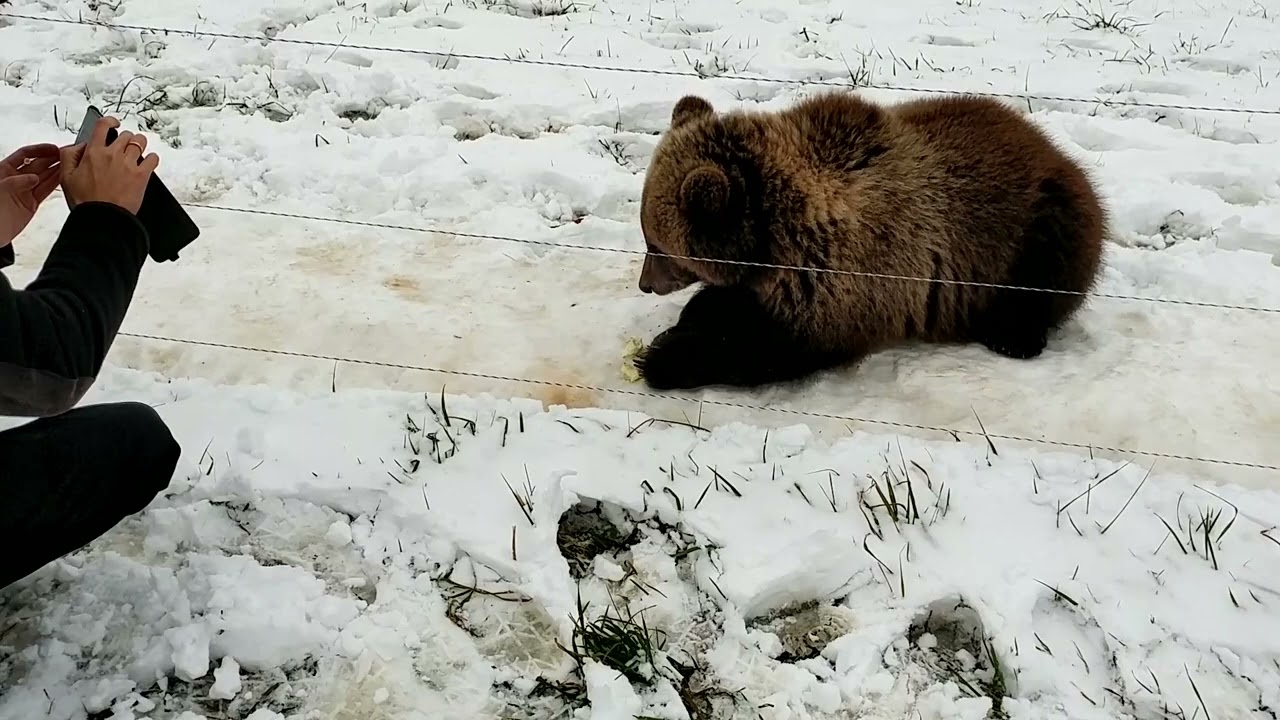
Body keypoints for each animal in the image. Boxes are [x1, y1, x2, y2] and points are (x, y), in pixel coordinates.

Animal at [632, 90, 1108, 391]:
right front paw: (688, 320)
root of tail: (1058, 153)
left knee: (1039, 284)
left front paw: (662, 357)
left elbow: (780, 345)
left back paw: (1013, 337)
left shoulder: (853, 277)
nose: (644, 284)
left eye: (657, 245)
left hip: (1033, 227)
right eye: (648, 237)